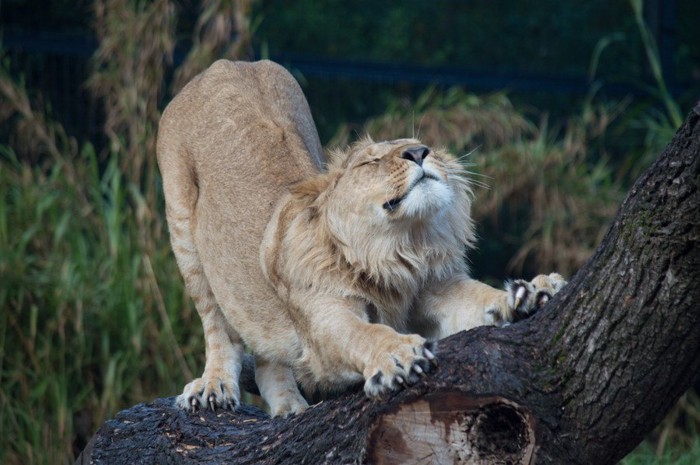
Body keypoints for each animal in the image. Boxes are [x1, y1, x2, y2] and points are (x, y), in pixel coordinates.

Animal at [156, 59, 568, 416]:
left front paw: (529, 293)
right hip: (182, 229)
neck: (397, 249)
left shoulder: (435, 289)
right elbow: (363, 333)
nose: (420, 152)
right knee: (217, 326)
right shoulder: (325, 317)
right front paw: (399, 354)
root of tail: (222, 64)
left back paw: (289, 408)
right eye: (371, 161)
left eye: (421, 142)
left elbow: (479, 297)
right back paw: (214, 387)